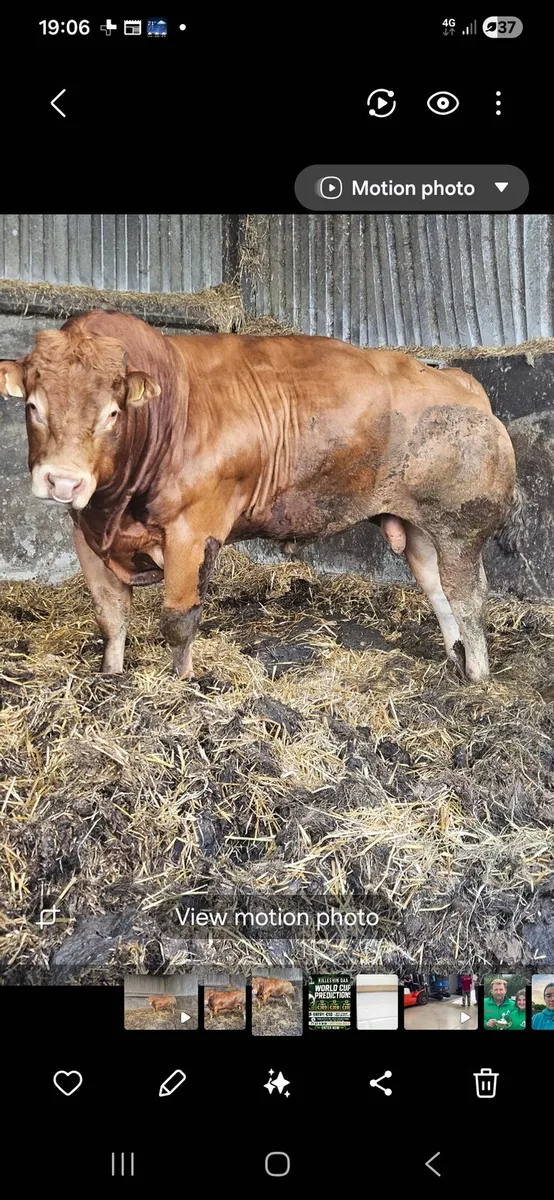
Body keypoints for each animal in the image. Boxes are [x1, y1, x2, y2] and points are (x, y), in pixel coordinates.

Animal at [0, 309, 520, 683]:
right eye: (33, 406)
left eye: (113, 412)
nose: (63, 481)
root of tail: (461, 381)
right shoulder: (86, 536)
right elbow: (110, 617)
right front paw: (110, 678)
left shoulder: (193, 530)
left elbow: (178, 620)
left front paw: (182, 683)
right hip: (418, 528)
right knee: (438, 590)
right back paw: (453, 659)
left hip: (460, 529)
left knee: (469, 597)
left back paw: (477, 677)